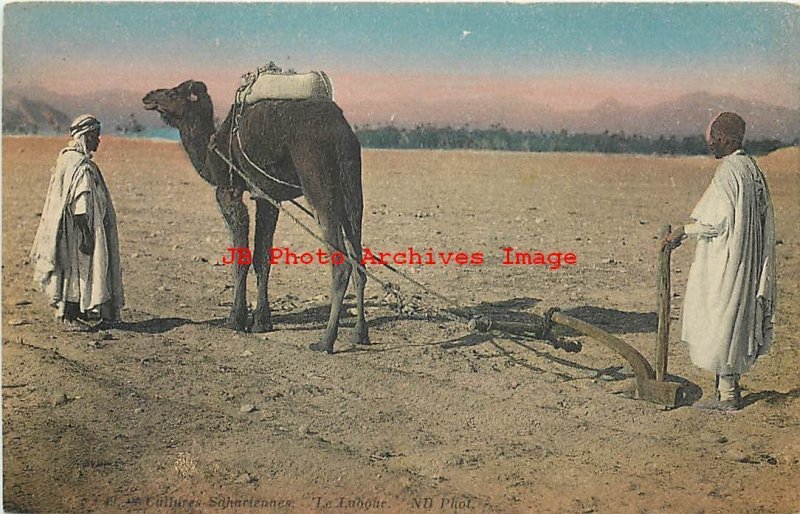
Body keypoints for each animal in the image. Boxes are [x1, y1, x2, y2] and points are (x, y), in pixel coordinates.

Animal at [144, 79, 368, 352]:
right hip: (351, 185)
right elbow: (262, 258)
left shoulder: (228, 191)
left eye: (172, 93)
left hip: (318, 180)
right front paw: (261, 322)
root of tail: (340, 131)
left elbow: (240, 256)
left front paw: (235, 319)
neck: (212, 151)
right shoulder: (265, 197)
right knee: (359, 259)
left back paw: (325, 341)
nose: (148, 96)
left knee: (341, 263)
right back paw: (360, 334)